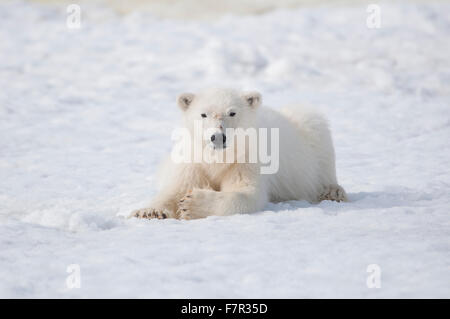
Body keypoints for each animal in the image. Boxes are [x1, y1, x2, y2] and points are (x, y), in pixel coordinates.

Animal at [130, 89, 348, 221]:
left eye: (232, 113)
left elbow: (245, 192)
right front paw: (150, 211)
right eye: (203, 114)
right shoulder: (192, 162)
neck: (219, 158)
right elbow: (175, 189)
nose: (218, 137)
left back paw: (332, 191)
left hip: (307, 132)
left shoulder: (246, 160)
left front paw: (193, 204)